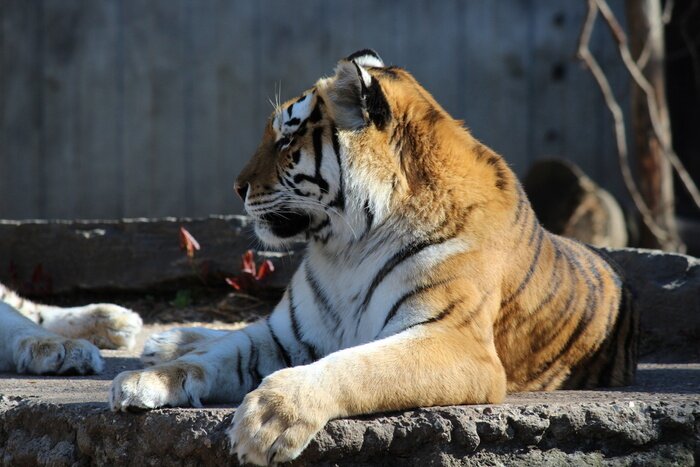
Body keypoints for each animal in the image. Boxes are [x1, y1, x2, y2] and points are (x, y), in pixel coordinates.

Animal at [109, 50, 638, 466]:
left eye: (285, 139)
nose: (237, 188)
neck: (346, 248)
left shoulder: (455, 341)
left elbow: (357, 365)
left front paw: (270, 415)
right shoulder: (284, 336)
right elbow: (216, 355)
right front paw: (139, 379)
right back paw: (169, 340)